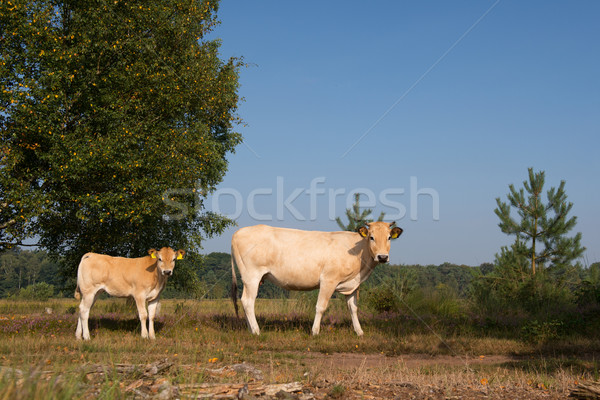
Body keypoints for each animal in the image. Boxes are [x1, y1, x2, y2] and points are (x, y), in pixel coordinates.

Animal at [230, 220, 404, 336]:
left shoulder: (353, 284)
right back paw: (256, 330)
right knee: (248, 301)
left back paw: (250, 329)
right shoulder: (329, 280)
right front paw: (315, 331)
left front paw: (359, 332)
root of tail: (239, 232)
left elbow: (353, 308)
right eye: (371, 237)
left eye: (389, 237)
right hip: (252, 275)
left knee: (244, 301)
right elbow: (321, 306)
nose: (382, 257)